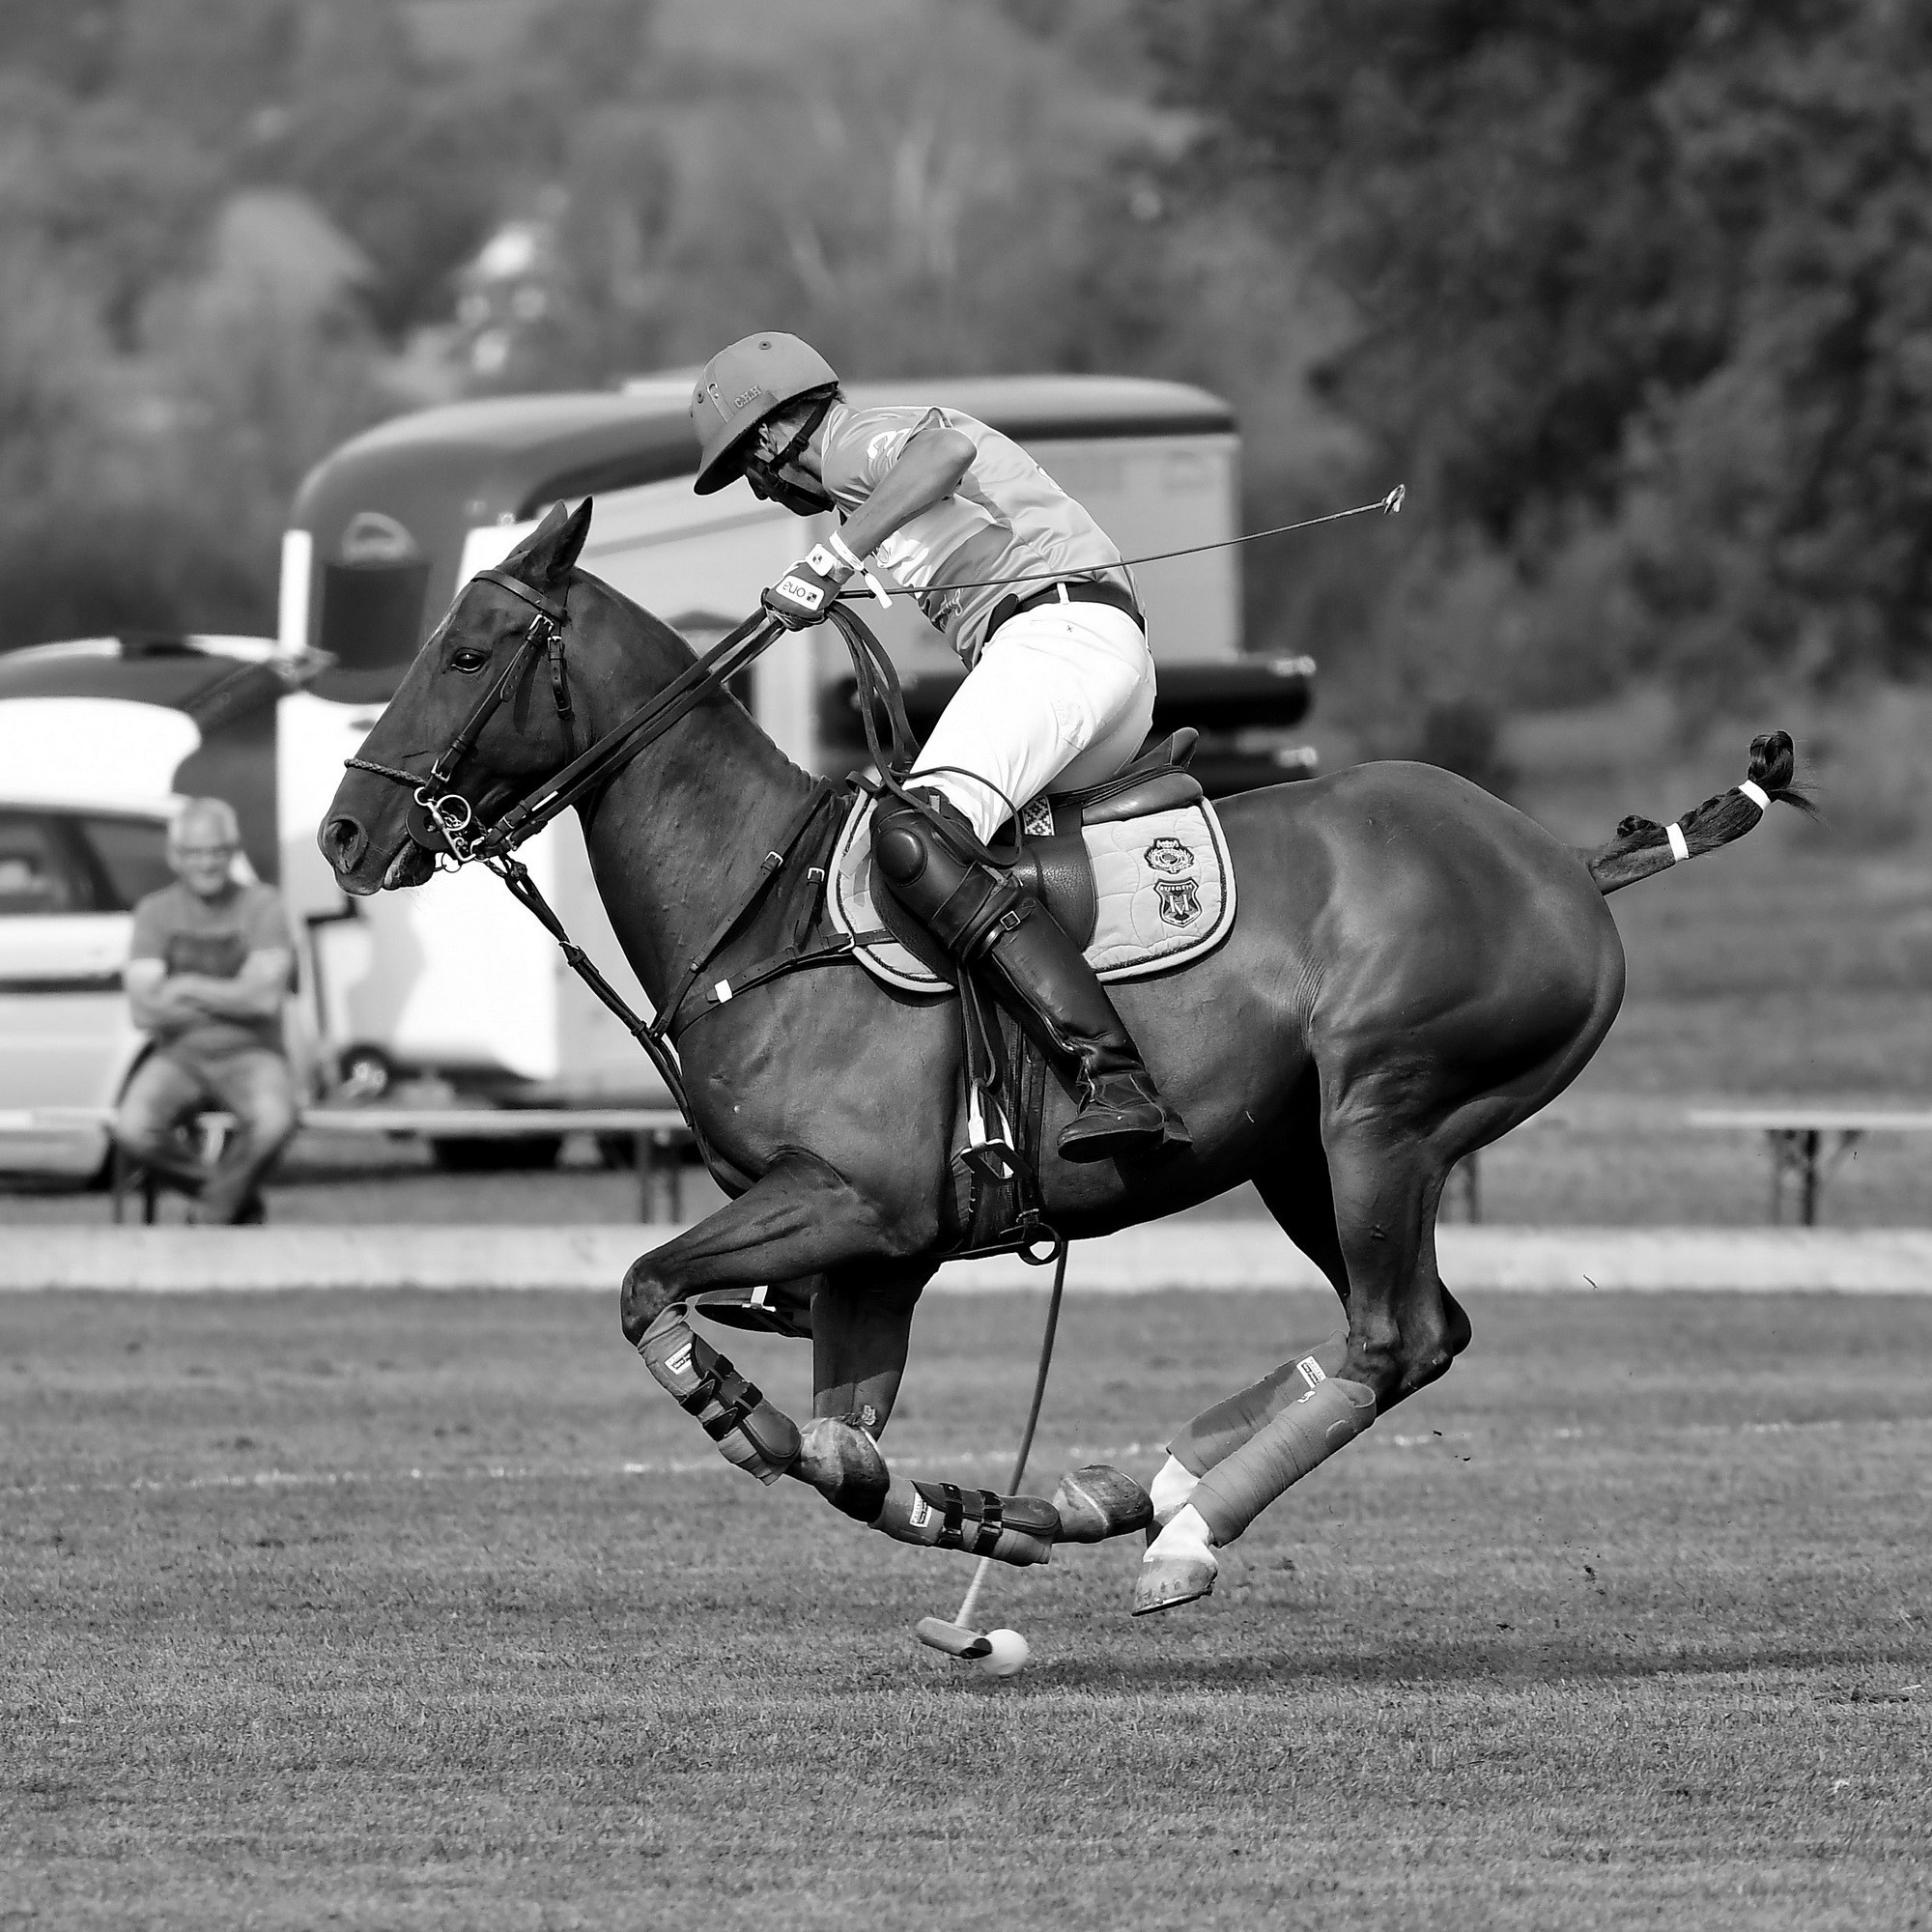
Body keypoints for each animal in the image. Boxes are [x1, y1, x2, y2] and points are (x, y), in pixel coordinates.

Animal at [320, 500, 1807, 1615]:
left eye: (468, 652)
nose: (344, 835)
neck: (762, 906)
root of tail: (1561, 863)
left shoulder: (854, 1201)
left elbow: (645, 1290)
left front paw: (733, 1403)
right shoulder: (879, 1261)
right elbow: (845, 1452)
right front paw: (973, 1513)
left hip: (1386, 1116)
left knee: (1393, 1336)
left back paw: (1179, 1537)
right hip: (1298, 1154)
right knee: (1413, 1335)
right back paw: (1119, 1494)